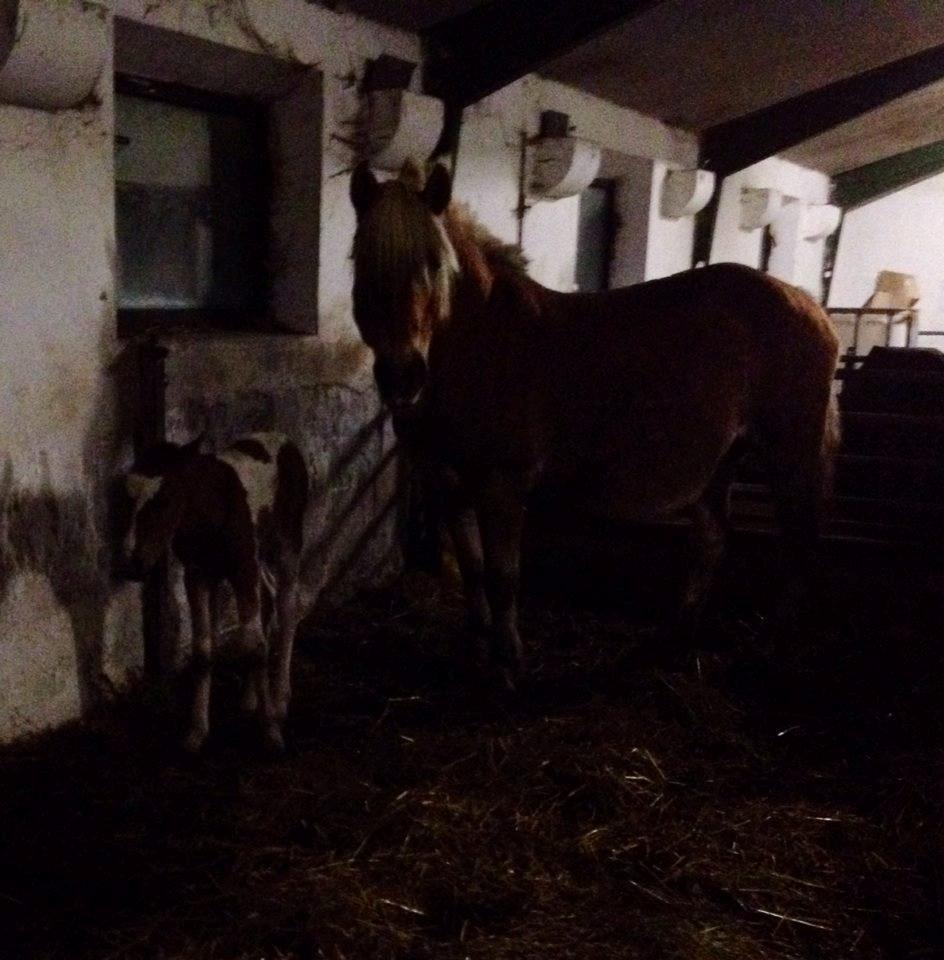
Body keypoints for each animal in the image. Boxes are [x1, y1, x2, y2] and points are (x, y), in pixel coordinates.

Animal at [350, 161, 836, 688]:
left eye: (434, 265)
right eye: (362, 263)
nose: (402, 376)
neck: (483, 347)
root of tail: (809, 305)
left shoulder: (502, 485)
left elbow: (503, 577)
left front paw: (507, 660)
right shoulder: (448, 482)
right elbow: (473, 569)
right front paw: (476, 650)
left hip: (789, 459)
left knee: (800, 551)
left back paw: (769, 655)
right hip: (720, 462)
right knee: (713, 540)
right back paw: (675, 640)